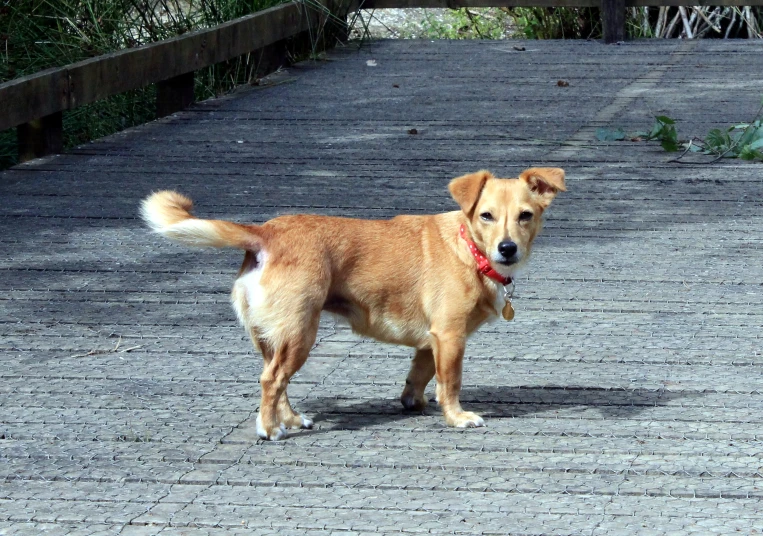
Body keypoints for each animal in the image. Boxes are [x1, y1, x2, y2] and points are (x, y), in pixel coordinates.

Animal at [140, 169, 564, 440]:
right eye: (486, 216)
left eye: (525, 216)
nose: (507, 248)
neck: (469, 248)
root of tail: (265, 232)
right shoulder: (450, 336)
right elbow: (451, 382)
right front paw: (457, 417)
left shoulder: (431, 341)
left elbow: (420, 374)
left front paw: (414, 402)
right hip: (300, 333)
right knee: (271, 380)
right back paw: (270, 428)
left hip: (277, 336)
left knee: (278, 381)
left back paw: (292, 419)